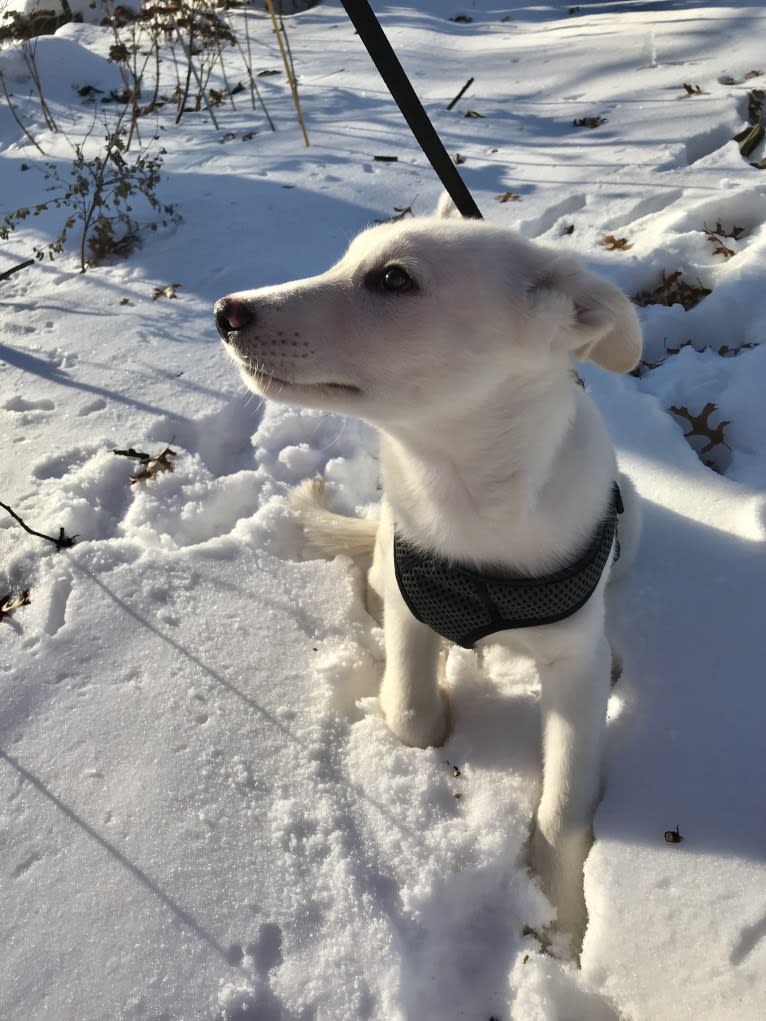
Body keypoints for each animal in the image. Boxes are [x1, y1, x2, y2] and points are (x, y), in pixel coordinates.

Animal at [214, 203, 641, 951]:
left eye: (393, 279)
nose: (225, 313)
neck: (467, 494)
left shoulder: (572, 667)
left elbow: (564, 807)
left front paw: (563, 917)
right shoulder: (414, 607)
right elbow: (407, 710)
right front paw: (436, 723)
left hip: (635, 518)